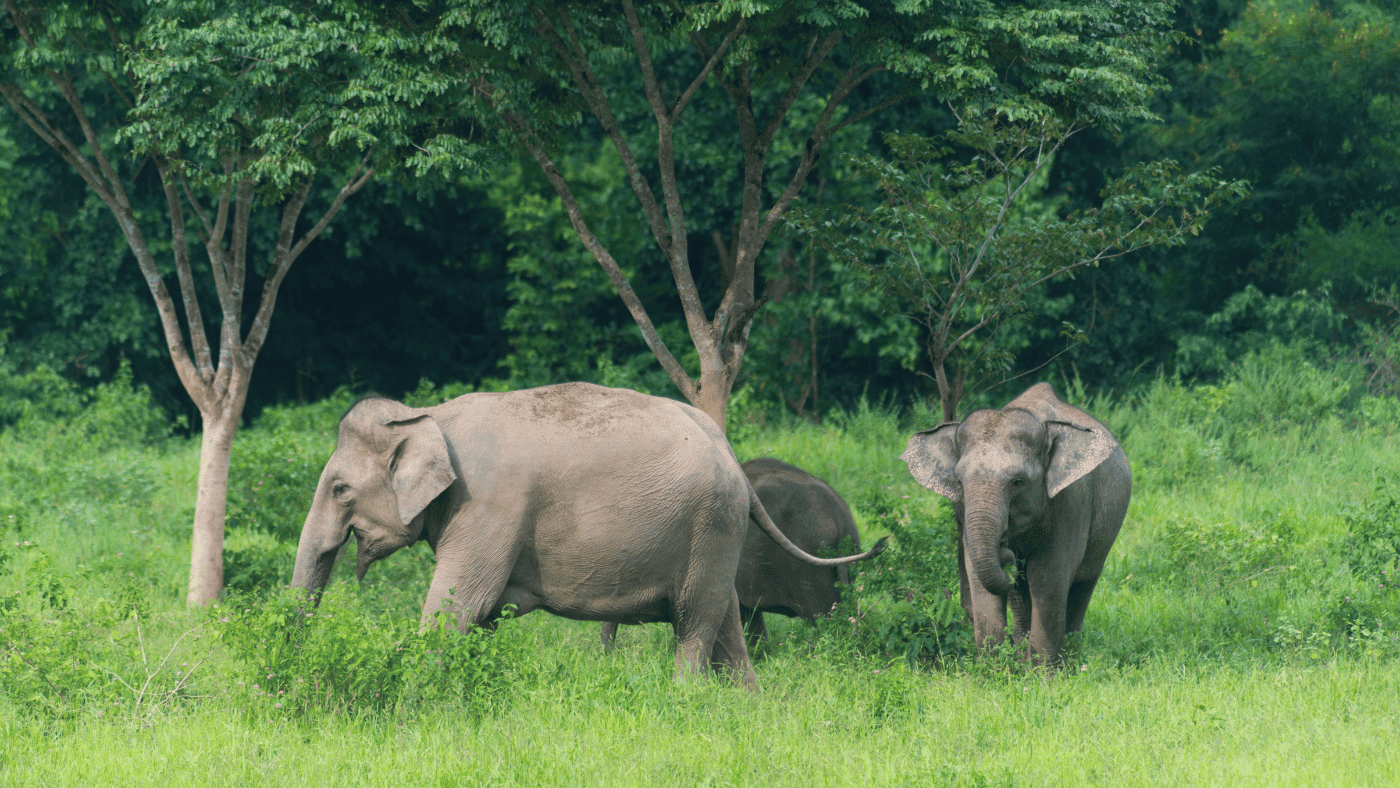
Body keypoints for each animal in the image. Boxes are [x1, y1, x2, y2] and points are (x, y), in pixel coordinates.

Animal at [901, 383, 1131, 666]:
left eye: (1018, 482)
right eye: (959, 481)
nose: (1007, 551)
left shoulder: (1071, 502)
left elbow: (1047, 577)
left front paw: (1045, 673)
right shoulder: (963, 513)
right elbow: (981, 579)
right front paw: (996, 669)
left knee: (1082, 583)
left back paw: (1070, 656)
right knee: (1019, 592)